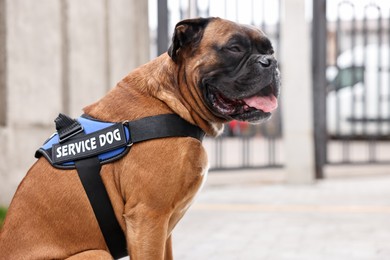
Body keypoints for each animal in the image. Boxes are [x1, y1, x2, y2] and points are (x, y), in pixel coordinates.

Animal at [0, 17, 280, 258]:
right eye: (234, 48)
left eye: (271, 50)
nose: (271, 63)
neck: (171, 99)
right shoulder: (149, 218)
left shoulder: (163, 230)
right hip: (95, 253)